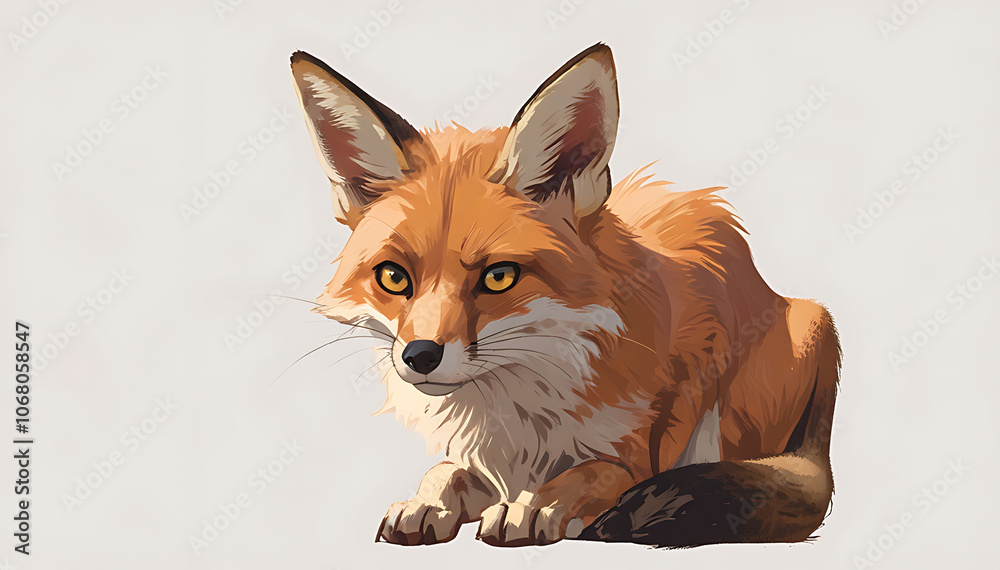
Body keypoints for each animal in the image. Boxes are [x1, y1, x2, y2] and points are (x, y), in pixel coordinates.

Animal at [289, 43, 840, 548]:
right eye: (394, 278)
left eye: (499, 277)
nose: (420, 356)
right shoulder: (482, 459)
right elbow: (444, 472)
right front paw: (427, 503)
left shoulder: (637, 458)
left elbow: (584, 474)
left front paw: (536, 505)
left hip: (778, 358)